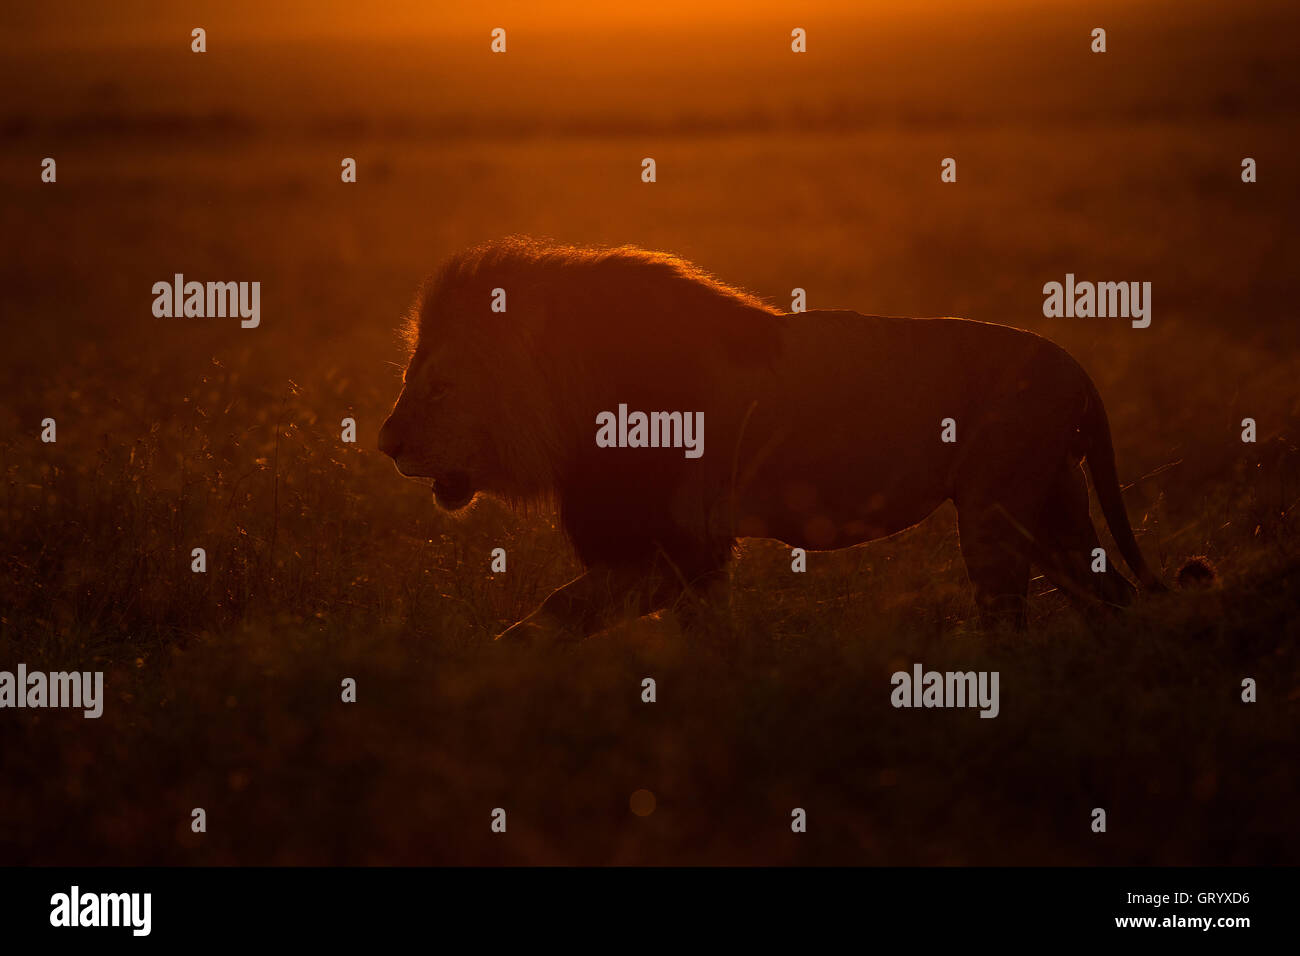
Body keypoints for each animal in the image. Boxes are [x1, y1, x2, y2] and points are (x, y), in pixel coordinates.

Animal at [377, 238, 1170, 642]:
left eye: (439, 388)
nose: (385, 443)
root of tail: (1078, 371)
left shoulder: (672, 547)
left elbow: (543, 622)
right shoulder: (693, 556)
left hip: (994, 508)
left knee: (1013, 619)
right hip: (1053, 503)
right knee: (1113, 597)